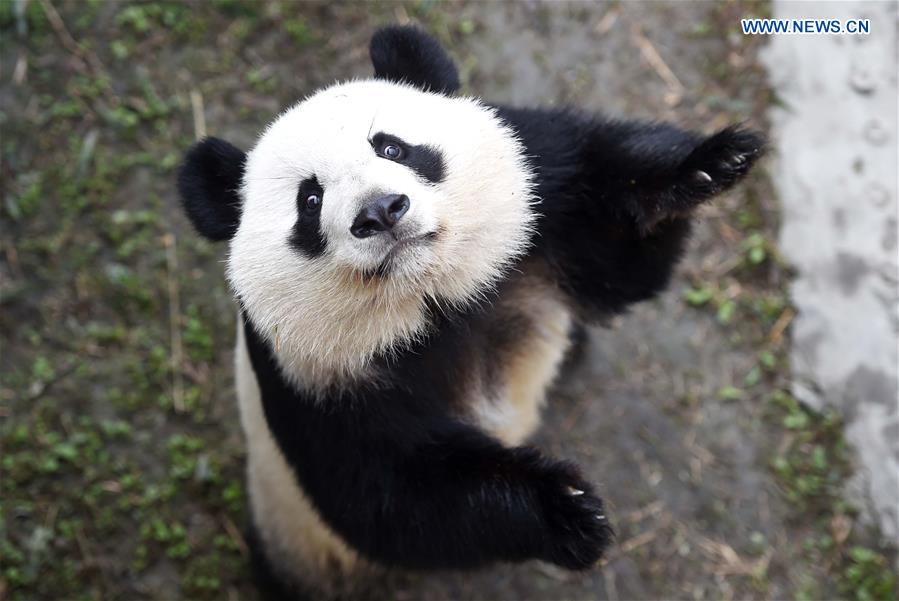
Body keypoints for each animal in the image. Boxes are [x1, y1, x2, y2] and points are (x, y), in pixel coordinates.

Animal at [177, 26, 764, 598]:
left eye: (391, 146)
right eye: (310, 200)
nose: (379, 212)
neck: (432, 299)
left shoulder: (542, 205)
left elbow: (617, 260)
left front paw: (708, 165)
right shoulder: (309, 375)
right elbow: (392, 496)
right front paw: (566, 511)